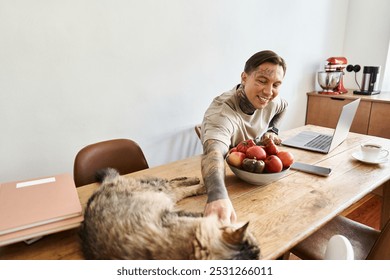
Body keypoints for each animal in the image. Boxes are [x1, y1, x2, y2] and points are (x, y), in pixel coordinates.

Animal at [79, 167, 260, 260]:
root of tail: (106, 184)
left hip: (162, 190)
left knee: (175, 183)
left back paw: (194, 181)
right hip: (162, 191)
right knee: (176, 186)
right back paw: (199, 185)